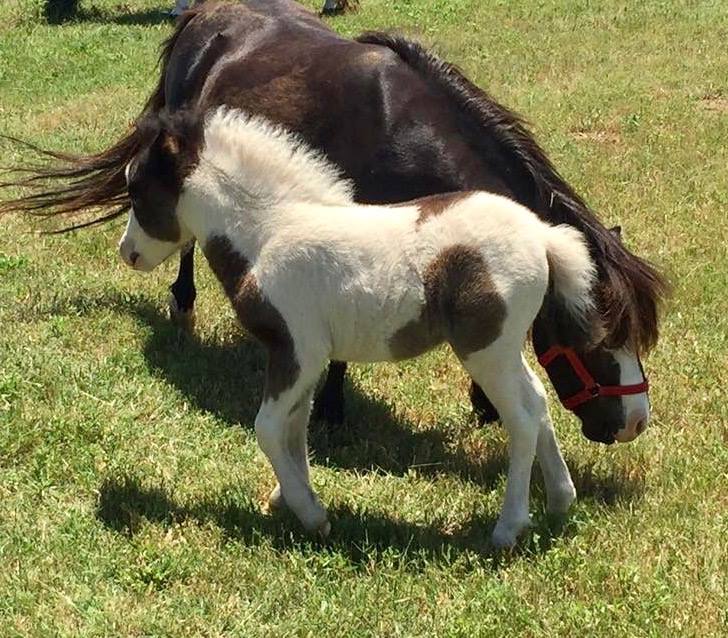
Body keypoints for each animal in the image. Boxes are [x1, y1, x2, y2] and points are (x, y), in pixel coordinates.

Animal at [0, 0, 666, 438]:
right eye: (597, 338)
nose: (634, 423)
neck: (402, 131)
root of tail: (204, 14)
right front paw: (331, 410)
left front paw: (483, 401)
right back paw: (184, 303)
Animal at [117, 106, 653, 547]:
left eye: (138, 189)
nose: (128, 254)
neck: (267, 234)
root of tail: (542, 236)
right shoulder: (303, 358)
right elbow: (296, 427)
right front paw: (284, 498)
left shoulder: (296, 350)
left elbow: (267, 428)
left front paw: (312, 515)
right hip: (501, 349)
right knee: (538, 402)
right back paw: (561, 499)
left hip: (484, 351)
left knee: (520, 417)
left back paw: (508, 528)